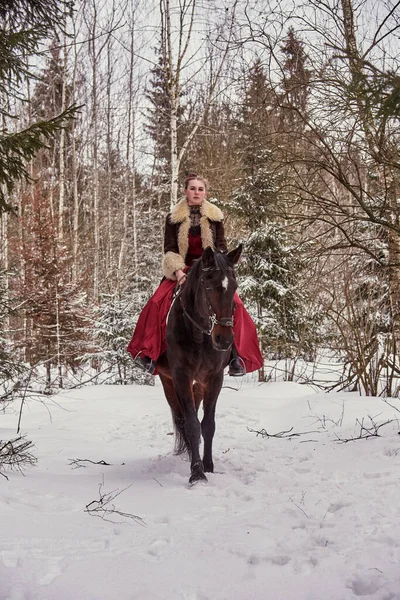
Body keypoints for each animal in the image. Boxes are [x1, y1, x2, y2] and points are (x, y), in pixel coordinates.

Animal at [156, 246, 242, 486]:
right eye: (209, 286)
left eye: (234, 287)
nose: (224, 339)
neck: (200, 335)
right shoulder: (181, 377)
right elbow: (192, 425)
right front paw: (197, 472)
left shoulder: (214, 378)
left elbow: (208, 424)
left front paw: (208, 465)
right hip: (169, 382)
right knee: (182, 417)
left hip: (198, 385)